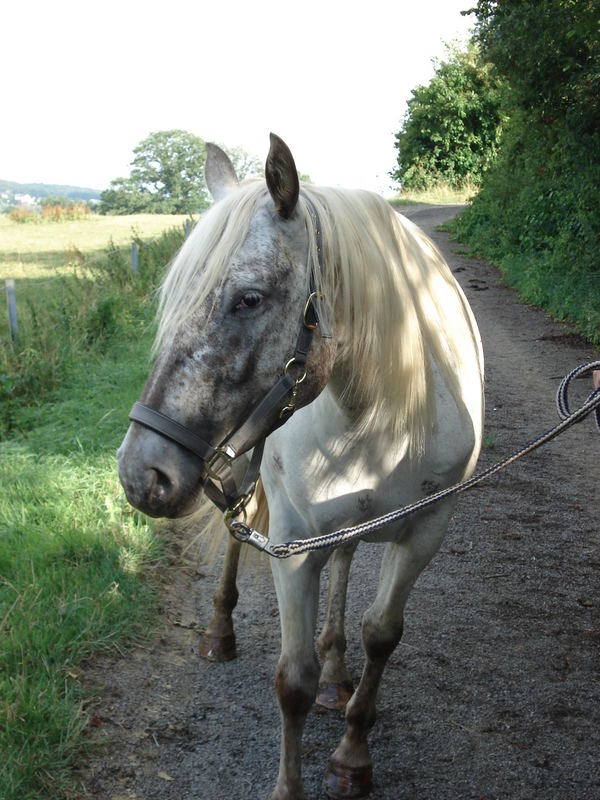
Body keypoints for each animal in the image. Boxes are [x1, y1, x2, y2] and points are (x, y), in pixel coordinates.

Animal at [117, 134, 482, 796]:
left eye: (249, 299)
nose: (141, 473)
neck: (381, 409)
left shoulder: (425, 531)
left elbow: (380, 635)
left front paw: (353, 755)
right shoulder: (290, 541)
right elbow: (293, 681)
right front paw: (291, 783)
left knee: (344, 560)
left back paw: (338, 670)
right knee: (237, 542)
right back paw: (220, 631)